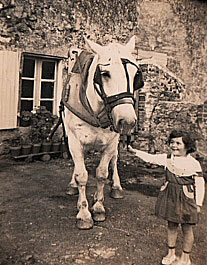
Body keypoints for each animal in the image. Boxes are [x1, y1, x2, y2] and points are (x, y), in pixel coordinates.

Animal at [62, 36, 144, 228]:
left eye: (136, 75)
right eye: (105, 74)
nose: (127, 121)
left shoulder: (111, 142)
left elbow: (101, 174)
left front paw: (98, 206)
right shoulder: (74, 140)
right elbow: (82, 174)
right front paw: (84, 212)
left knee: (114, 160)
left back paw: (116, 187)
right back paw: (73, 186)